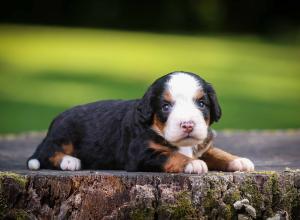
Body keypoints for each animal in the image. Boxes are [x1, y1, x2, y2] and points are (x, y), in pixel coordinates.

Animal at [27, 71, 254, 174]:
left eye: (201, 103)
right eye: (165, 106)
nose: (188, 125)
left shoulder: (202, 145)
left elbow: (217, 152)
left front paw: (239, 160)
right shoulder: (140, 154)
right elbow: (171, 155)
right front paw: (193, 163)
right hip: (64, 133)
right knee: (47, 153)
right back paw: (69, 161)